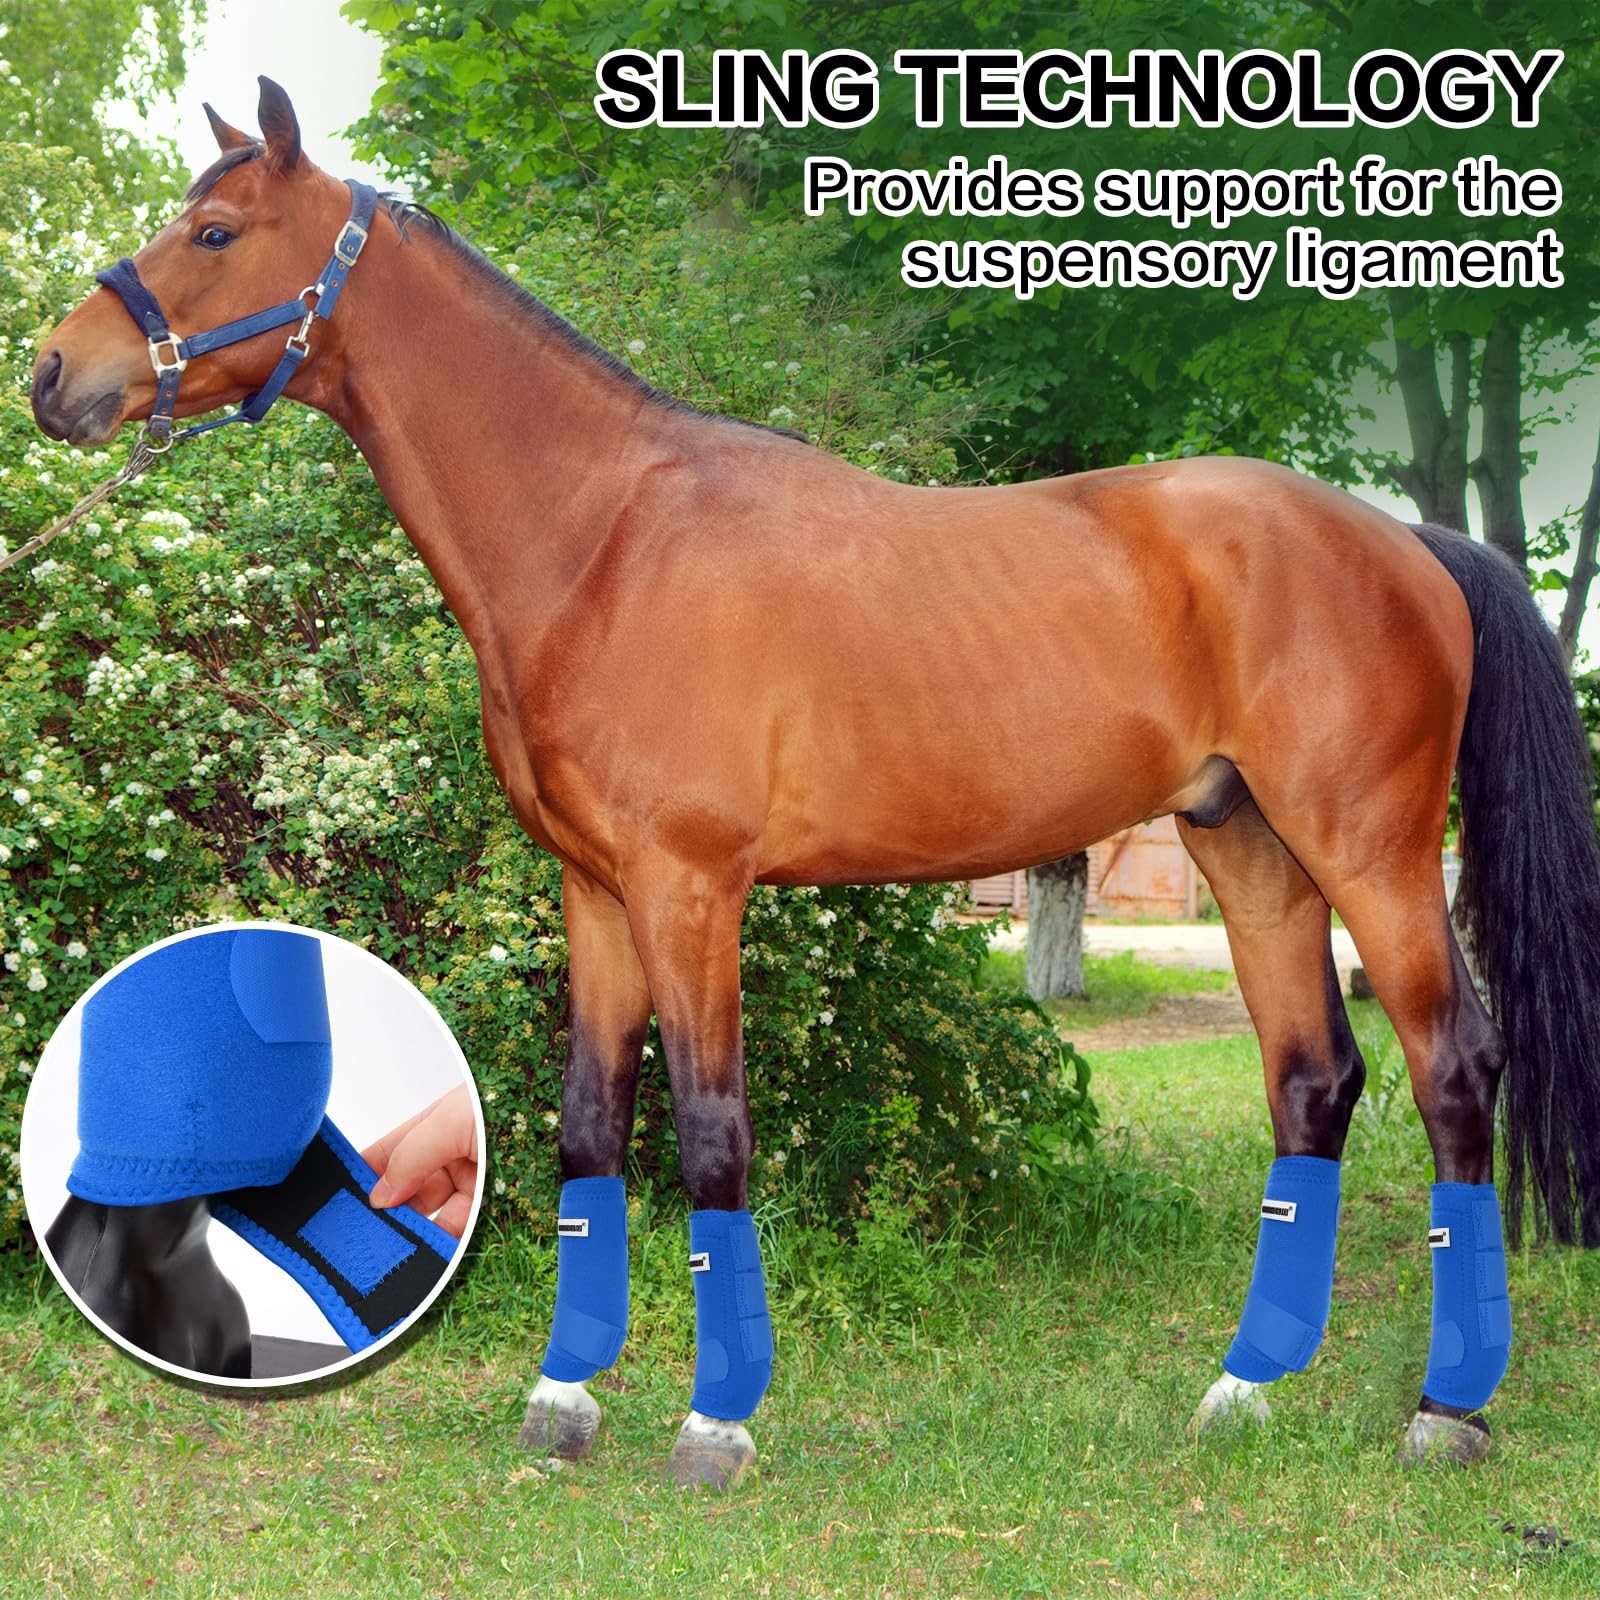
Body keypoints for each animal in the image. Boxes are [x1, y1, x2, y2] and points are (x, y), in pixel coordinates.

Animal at [31, 79, 1600, 1487]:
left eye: (217, 230)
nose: (53, 373)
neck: (600, 537)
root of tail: (1405, 542)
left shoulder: (690, 891)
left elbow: (713, 1137)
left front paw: (714, 1427)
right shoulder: (595, 892)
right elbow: (590, 1129)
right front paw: (562, 1405)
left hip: (1370, 853)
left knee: (1451, 1072)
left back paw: (1445, 1415)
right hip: (1252, 854)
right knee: (1312, 1082)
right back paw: (1242, 1393)